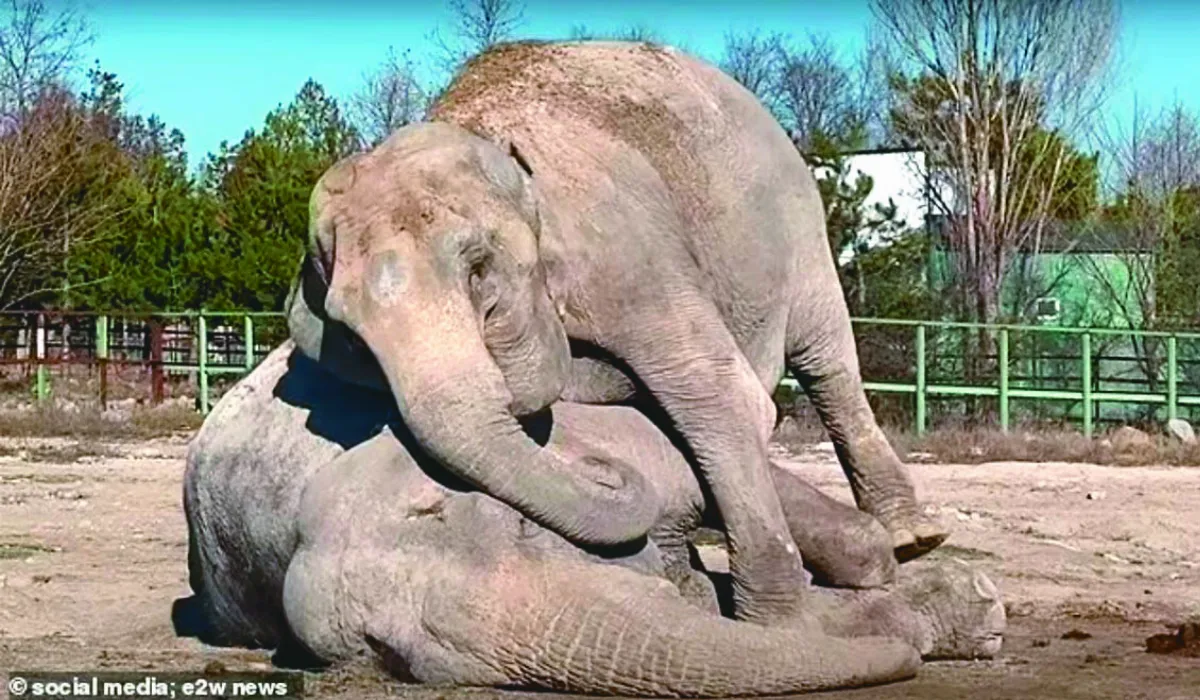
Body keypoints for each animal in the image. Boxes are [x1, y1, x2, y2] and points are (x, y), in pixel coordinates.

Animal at [176, 341, 1004, 697]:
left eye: (518, 529)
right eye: (391, 657)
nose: (905, 656)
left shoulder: (592, 431)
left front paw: (950, 603)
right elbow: (700, 606)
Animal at [285, 39, 948, 624]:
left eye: (478, 270)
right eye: (349, 332)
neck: (483, 136)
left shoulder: (631, 262)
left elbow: (720, 396)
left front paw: (774, 622)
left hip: (800, 229)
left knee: (827, 359)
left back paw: (913, 538)